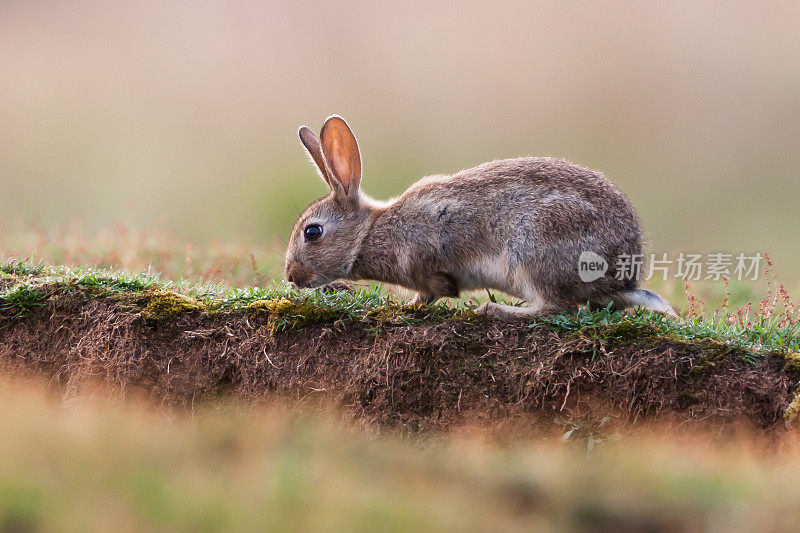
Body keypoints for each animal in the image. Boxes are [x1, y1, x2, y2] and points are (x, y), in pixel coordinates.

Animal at [282, 114, 676, 318]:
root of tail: (623, 278)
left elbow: (432, 290)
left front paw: (409, 305)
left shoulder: (423, 256)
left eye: (313, 232)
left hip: (535, 252)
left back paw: (495, 311)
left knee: (556, 307)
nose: (291, 276)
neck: (370, 232)